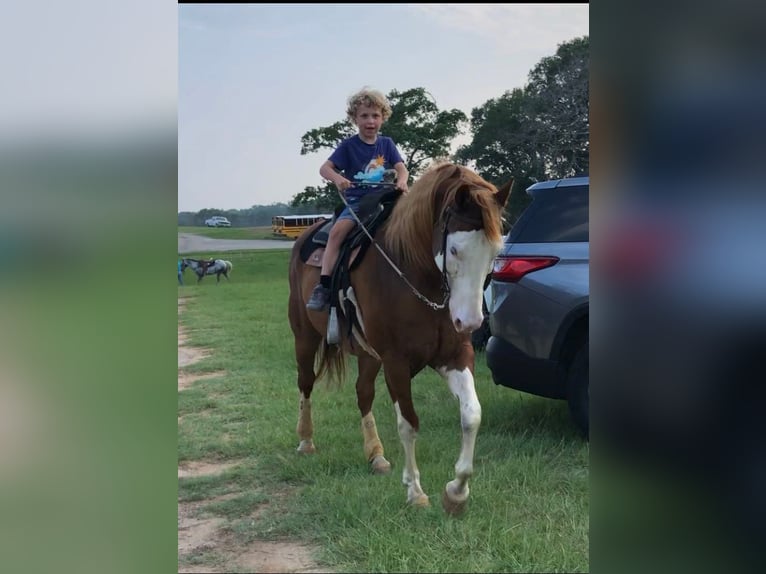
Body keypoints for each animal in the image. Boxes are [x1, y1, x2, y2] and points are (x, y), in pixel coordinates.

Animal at [286, 163, 510, 516]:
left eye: (495, 251)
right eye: (455, 249)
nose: (470, 322)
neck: (414, 275)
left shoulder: (454, 357)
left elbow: (471, 415)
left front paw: (456, 492)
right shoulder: (396, 363)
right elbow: (408, 423)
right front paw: (415, 491)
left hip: (367, 355)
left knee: (363, 393)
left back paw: (376, 455)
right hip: (305, 337)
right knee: (306, 383)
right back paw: (306, 440)